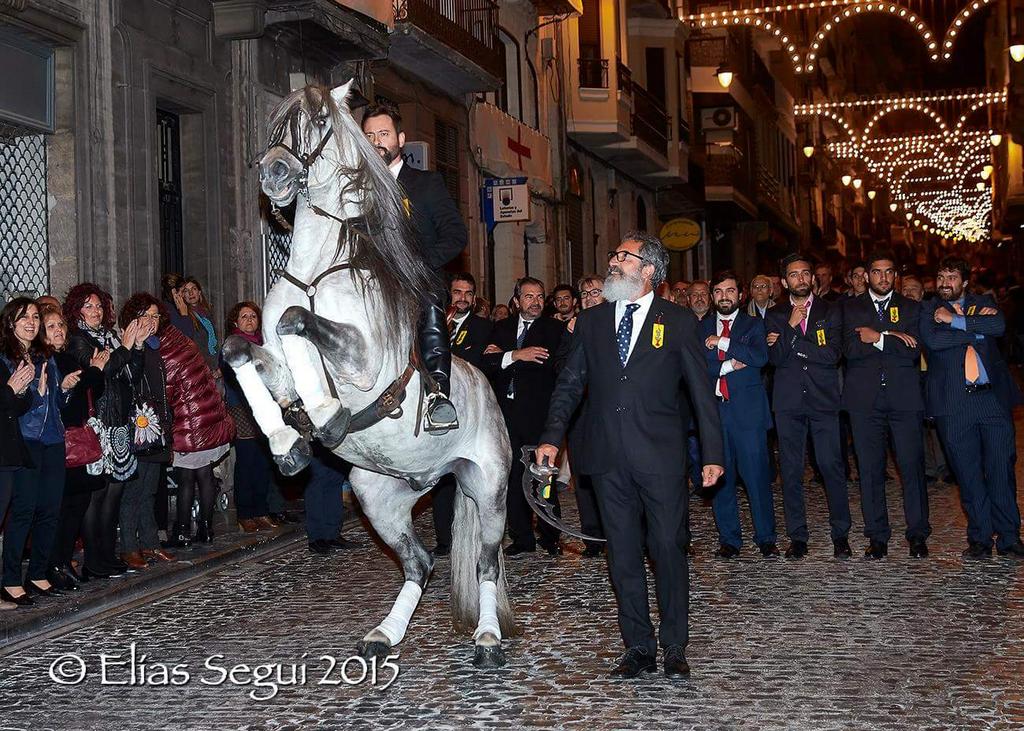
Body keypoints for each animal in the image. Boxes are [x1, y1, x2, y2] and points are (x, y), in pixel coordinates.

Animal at [221, 81, 516, 667]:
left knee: (486, 562)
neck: (315, 269)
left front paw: (326, 416)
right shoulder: (277, 365)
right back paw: (385, 633)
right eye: (275, 124)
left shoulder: (363, 362)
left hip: (489, 488)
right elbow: (240, 348)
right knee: (420, 562)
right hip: (379, 497)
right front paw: (289, 442)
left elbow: (297, 320)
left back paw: (488, 638)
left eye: (316, 122)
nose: (274, 174)